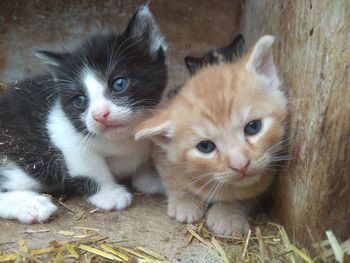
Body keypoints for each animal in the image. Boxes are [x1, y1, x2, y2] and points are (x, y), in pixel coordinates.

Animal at [0, 5, 167, 225]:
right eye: (80, 99)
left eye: (119, 83)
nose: (100, 115)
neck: (124, 140)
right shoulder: (64, 135)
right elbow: (90, 168)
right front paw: (109, 194)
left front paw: (154, 179)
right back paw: (30, 204)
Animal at [134, 36, 288, 236]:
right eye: (205, 146)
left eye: (253, 127)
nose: (241, 165)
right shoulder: (159, 153)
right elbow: (171, 177)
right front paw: (184, 201)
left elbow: (249, 192)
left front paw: (228, 214)